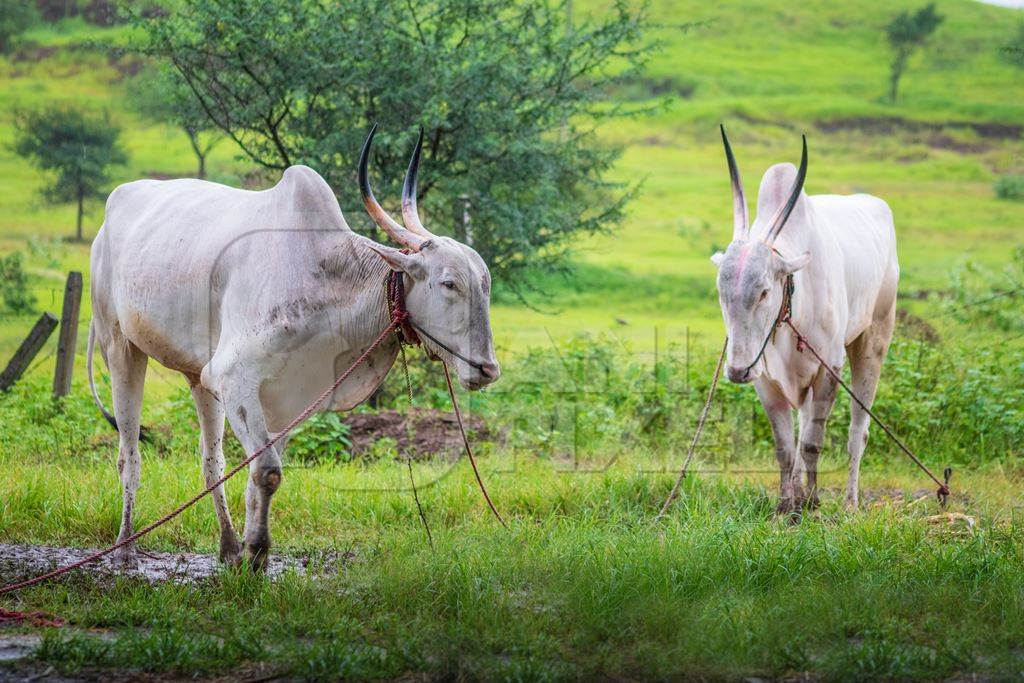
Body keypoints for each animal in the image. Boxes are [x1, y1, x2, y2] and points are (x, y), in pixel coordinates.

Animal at [87, 125, 499, 569]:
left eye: (485, 284)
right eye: (449, 283)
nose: (488, 369)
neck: (326, 275)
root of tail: (115, 205)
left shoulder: (287, 397)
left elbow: (257, 475)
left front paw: (251, 554)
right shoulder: (235, 378)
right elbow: (267, 471)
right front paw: (257, 552)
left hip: (199, 375)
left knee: (212, 461)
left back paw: (228, 545)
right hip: (120, 347)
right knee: (129, 455)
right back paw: (125, 549)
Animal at [712, 127, 897, 511]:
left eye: (764, 291)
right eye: (721, 291)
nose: (736, 370)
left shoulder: (828, 370)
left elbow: (812, 443)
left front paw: (810, 503)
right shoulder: (765, 377)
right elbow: (786, 447)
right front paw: (786, 506)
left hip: (874, 338)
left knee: (858, 431)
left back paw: (850, 503)